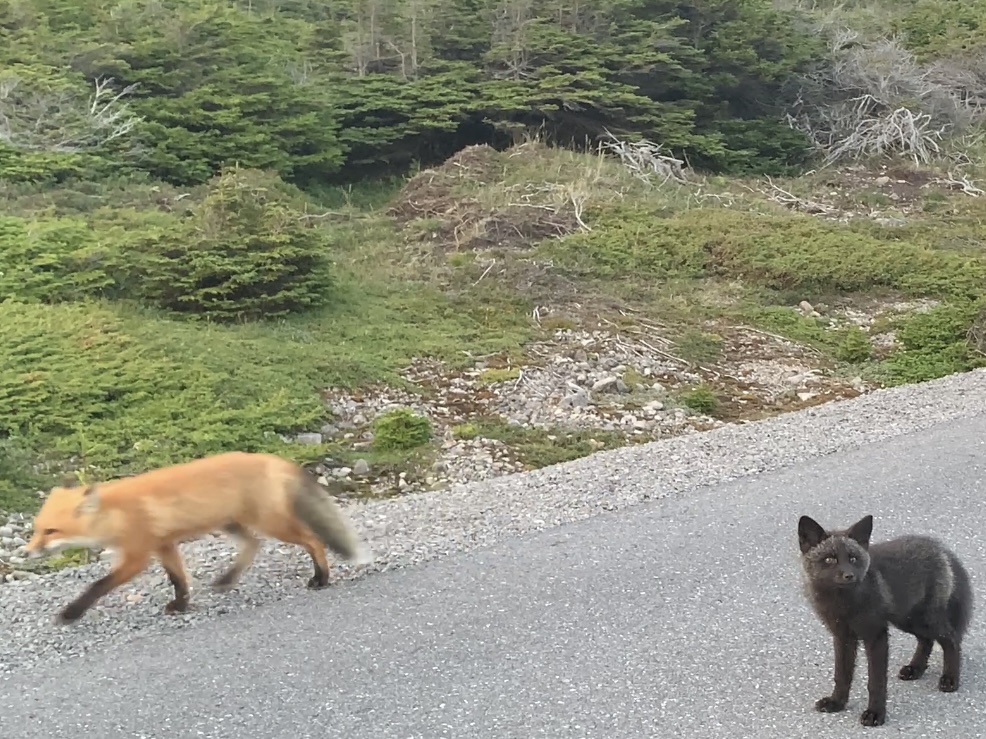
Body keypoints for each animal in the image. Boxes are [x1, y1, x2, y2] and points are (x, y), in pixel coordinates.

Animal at [24, 451, 374, 624]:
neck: (117, 513)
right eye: (36, 529)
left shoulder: (138, 555)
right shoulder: (164, 545)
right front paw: (181, 604)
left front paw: (71, 613)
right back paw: (227, 579)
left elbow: (97, 586)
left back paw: (321, 578)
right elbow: (178, 579)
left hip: (272, 524)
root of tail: (271, 458)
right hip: (233, 525)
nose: (28, 552)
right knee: (254, 545)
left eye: (51, 531)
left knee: (314, 540)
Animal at [798, 514, 973, 728]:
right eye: (830, 559)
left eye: (853, 558)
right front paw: (836, 703)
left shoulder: (876, 636)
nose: (849, 575)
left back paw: (950, 679)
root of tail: (940, 548)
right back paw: (915, 669)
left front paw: (875, 714)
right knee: (926, 640)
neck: (845, 604)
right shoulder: (842, 637)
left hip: (924, 619)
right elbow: (842, 675)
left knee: (951, 640)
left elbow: (876, 682)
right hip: (907, 620)